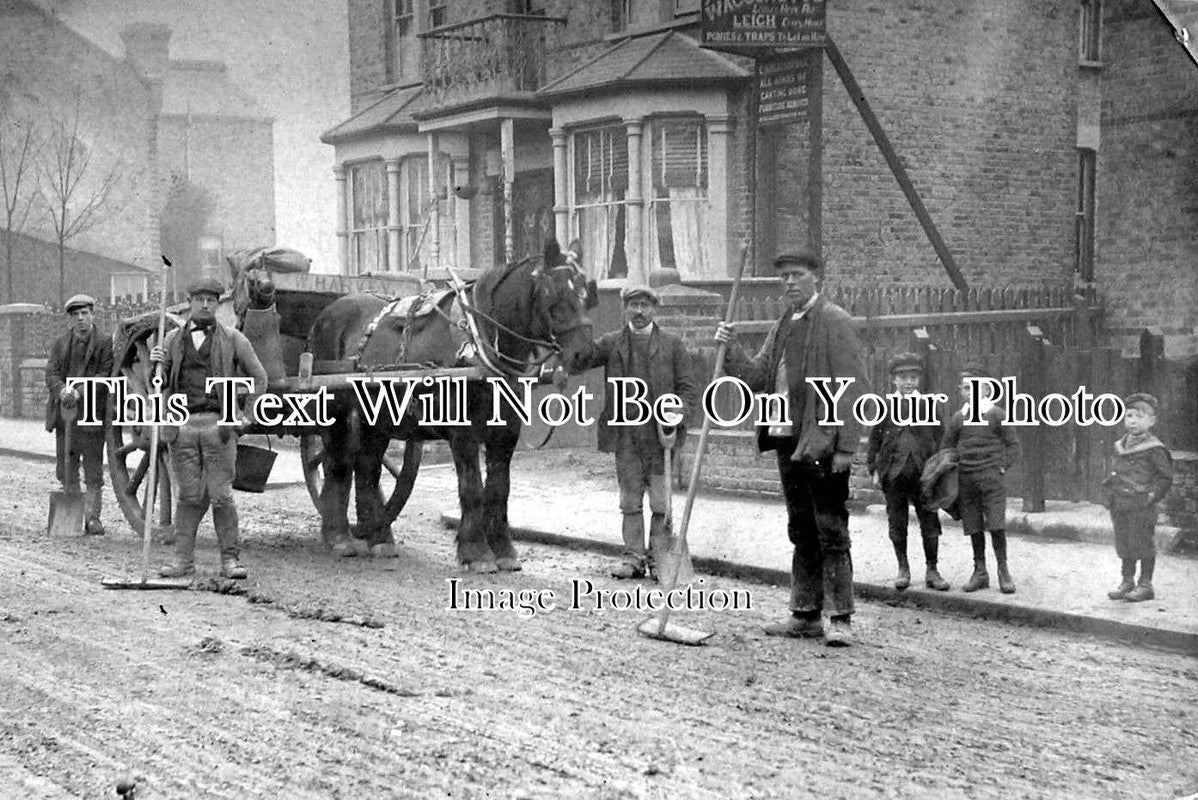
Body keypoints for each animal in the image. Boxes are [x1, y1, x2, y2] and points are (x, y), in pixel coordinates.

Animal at [306, 246, 591, 572]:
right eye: (552, 292)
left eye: (585, 290)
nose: (584, 353)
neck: (479, 344)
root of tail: (325, 315)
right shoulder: (462, 433)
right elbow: (472, 488)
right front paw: (476, 551)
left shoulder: (506, 432)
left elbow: (499, 489)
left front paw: (503, 550)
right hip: (335, 411)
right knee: (336, 464)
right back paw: (338, 536)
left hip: (376, 420)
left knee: (367, 467)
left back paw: (378, 536)